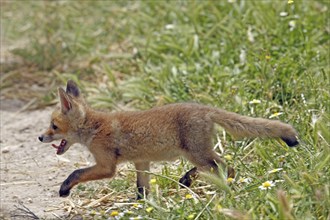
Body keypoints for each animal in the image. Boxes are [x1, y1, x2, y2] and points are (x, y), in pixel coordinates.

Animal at [38, 80, 300, 198]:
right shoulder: (141, 162)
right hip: (197, 154)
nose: (40, 137)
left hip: (197, 153)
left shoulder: (106, 166)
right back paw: (188, 180)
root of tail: (204, 108)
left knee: (226, 166)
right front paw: (142, 207)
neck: (95, 127)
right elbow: (141, 190)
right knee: (217, 166)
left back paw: (224, 186)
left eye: (54, 126)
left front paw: (64, 188)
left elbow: (76, 173)